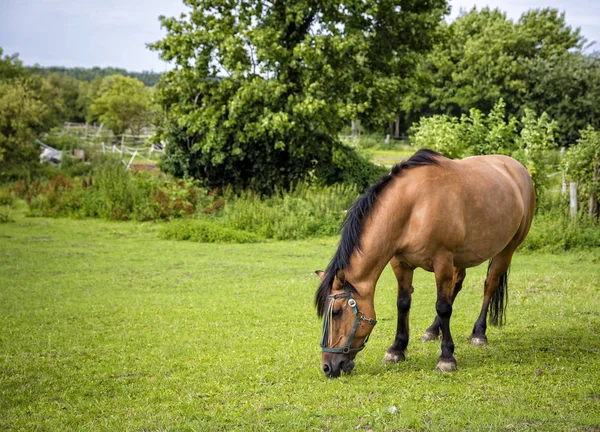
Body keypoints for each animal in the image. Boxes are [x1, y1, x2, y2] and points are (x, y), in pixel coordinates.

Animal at [314, 148, 536, 378]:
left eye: (336, 312)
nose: (328, 367)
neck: (414, 207)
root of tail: (518, 169)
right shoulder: (401, 263)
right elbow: (403, 303)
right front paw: (396, 350)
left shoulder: (442, 260)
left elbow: (443, 307)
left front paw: (446, 358)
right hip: (461, 257)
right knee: (456, 285)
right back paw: (432, 330)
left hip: (506, 250)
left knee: (489, 285)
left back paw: (478, 333)